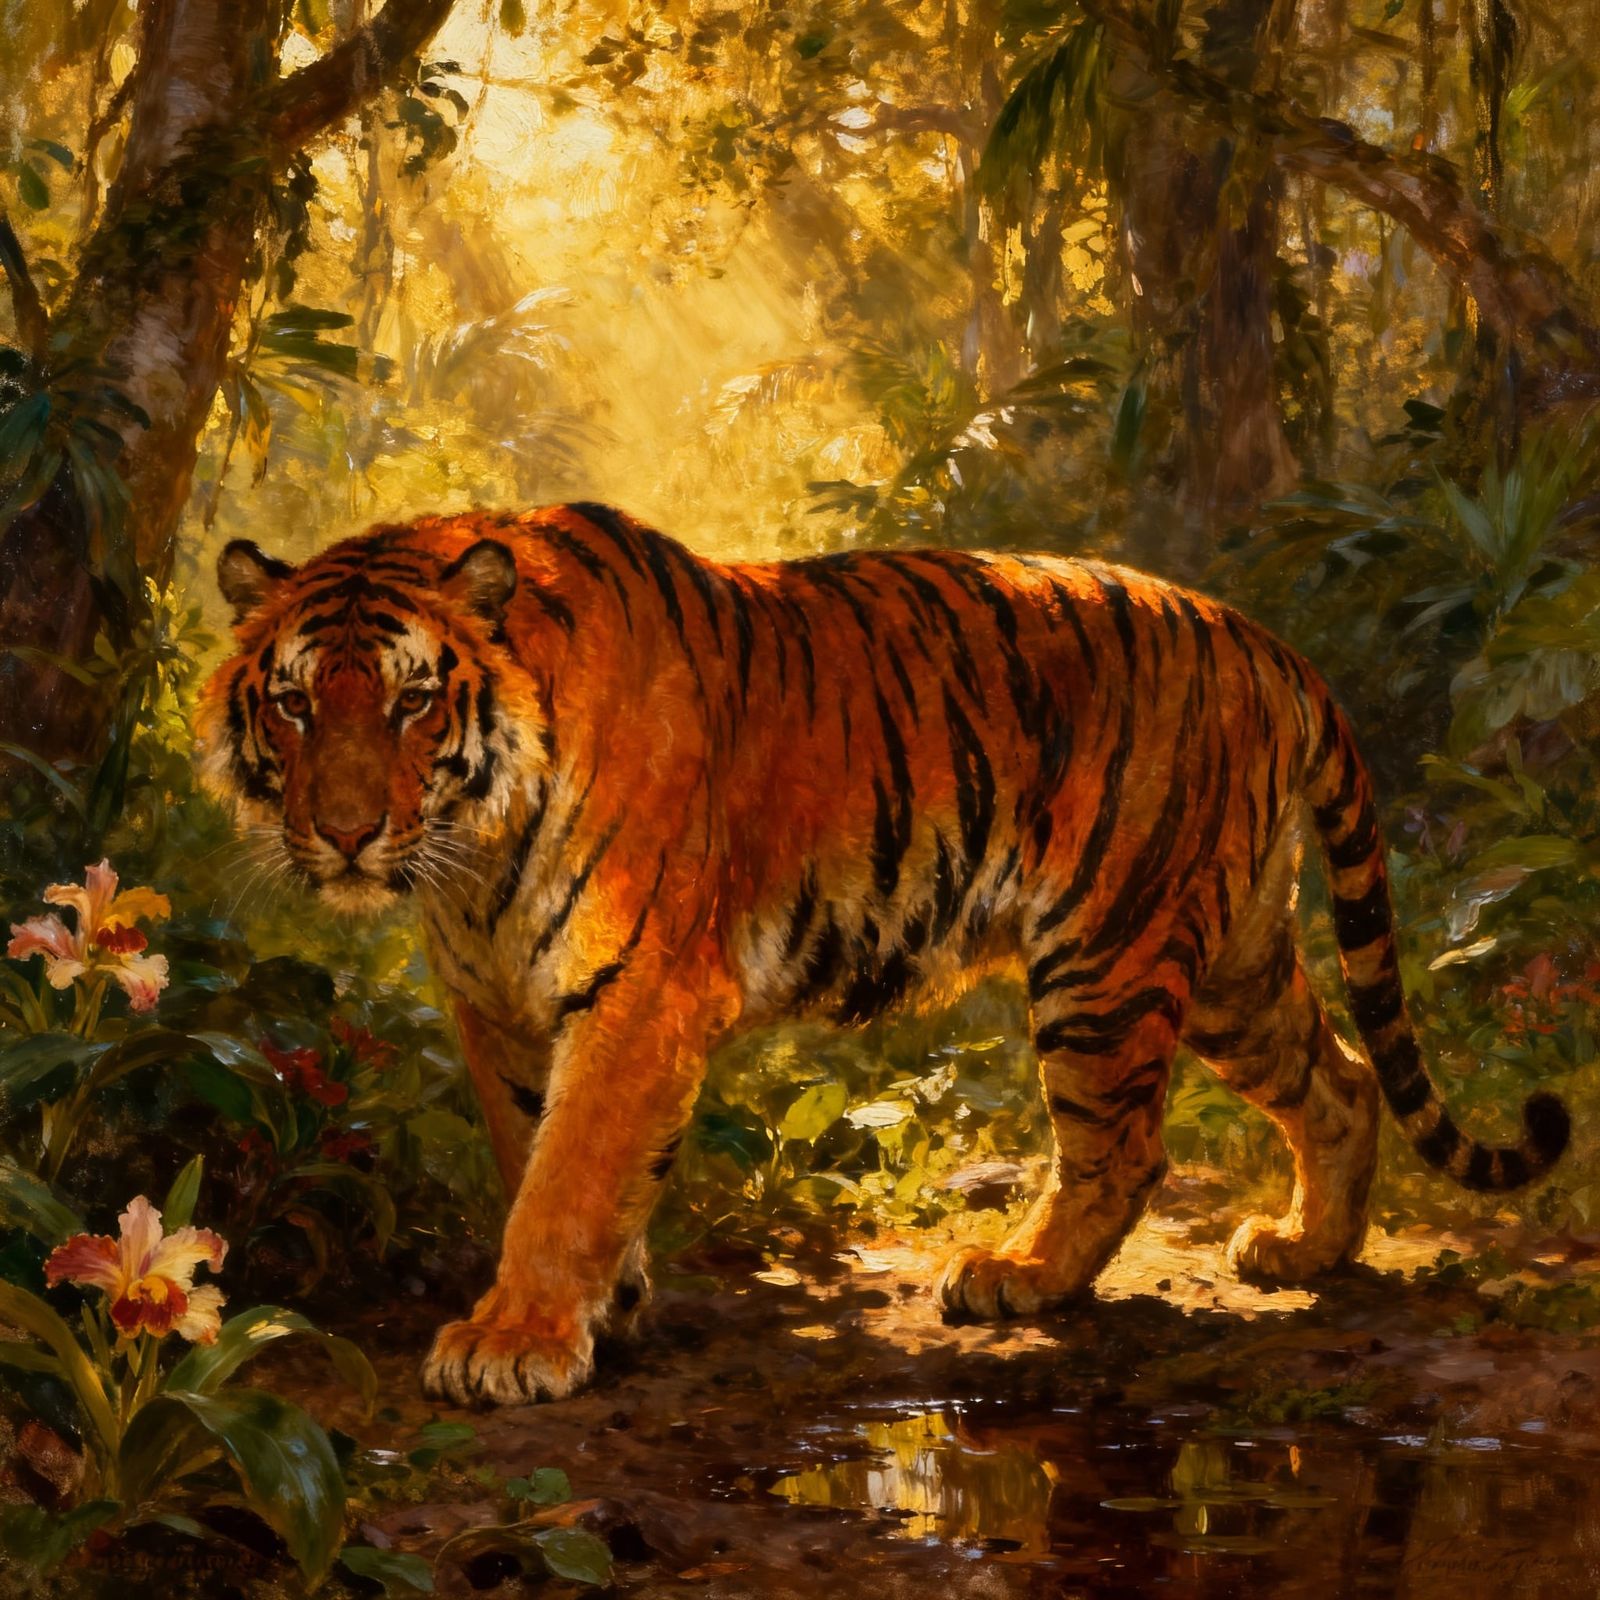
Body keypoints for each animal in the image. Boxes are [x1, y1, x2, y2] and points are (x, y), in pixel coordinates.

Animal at [196, 503, 1569, 1408]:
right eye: (295, 703)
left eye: (413, 701)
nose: (344, 831)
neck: (470, 859)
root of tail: (1262, 639)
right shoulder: (498, 1004)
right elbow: (535, 1148)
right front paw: (606, 1305)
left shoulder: (637, 989)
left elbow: (566, 1176)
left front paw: (516, 1338)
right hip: (1230, 953)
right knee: (1341, 1076)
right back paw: (1307, 1250)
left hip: (1108, 955)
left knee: (1123, 1147)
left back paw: (1015, 1274)